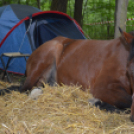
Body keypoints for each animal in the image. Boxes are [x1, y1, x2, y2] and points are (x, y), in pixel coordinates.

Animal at [1, 28, 134, 121]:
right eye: (129, 70)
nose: (132, 118)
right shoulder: (102, 88)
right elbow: (127, 102)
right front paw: (98, 102)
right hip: (49, 52)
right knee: (23, 89)